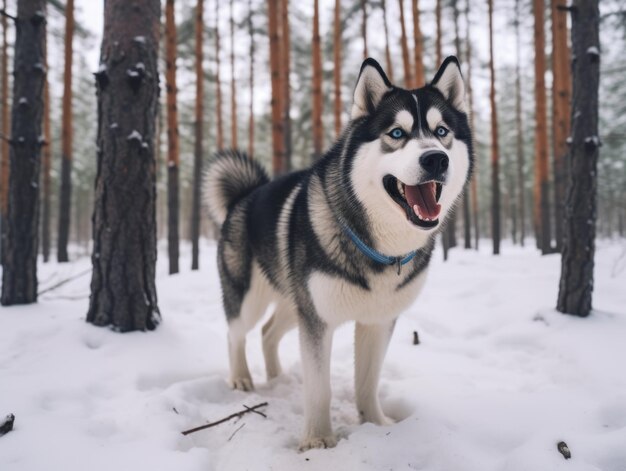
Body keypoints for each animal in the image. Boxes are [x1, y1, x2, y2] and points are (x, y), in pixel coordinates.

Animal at [202, 55, 470, 450]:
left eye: (441, 131)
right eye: (396, 133)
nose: (436, 159)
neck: (378, 248)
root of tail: (245, 195)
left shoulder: (377, 320)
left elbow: (367, 382)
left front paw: (377, 424)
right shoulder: (318, 320)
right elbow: (319, 389)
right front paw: (317, 440)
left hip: (295, 302)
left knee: (268, 332)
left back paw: (278, 379)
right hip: (251, 294)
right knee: (236, 332)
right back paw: (241, 379)